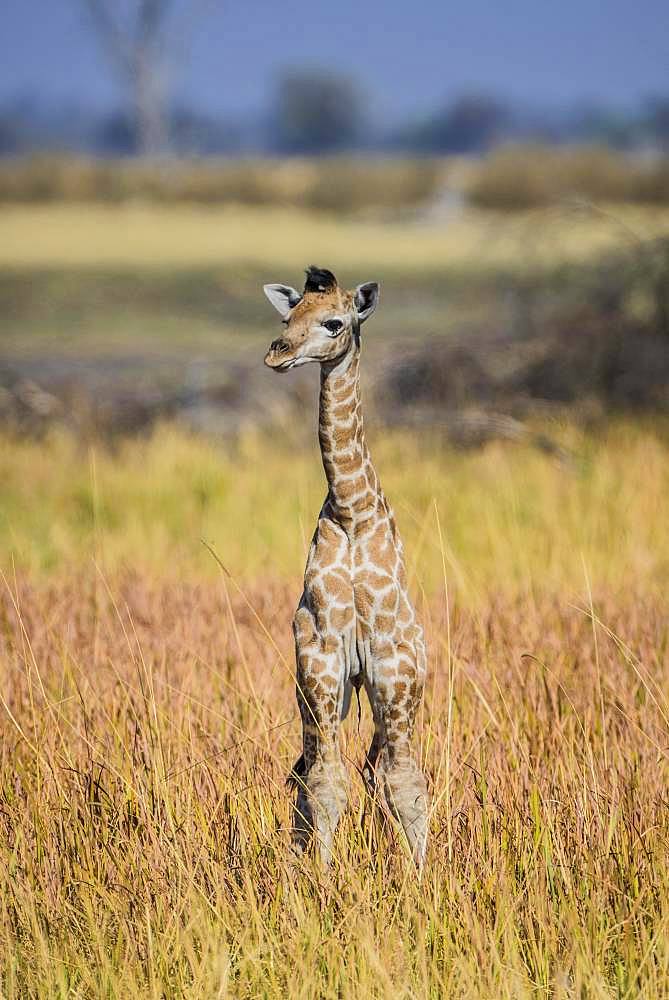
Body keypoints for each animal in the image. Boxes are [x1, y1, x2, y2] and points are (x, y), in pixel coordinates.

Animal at [262, 266, 428, 868]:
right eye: (288, 315)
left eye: (335, 322)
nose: (278, 352)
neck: (353, 512)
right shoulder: (321, 650)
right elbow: (326, 783)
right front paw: (320, 877)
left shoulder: (391, 659)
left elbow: (406, 785)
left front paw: (420, 880)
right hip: (322, 691)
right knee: (310, 769)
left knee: (383, 769)